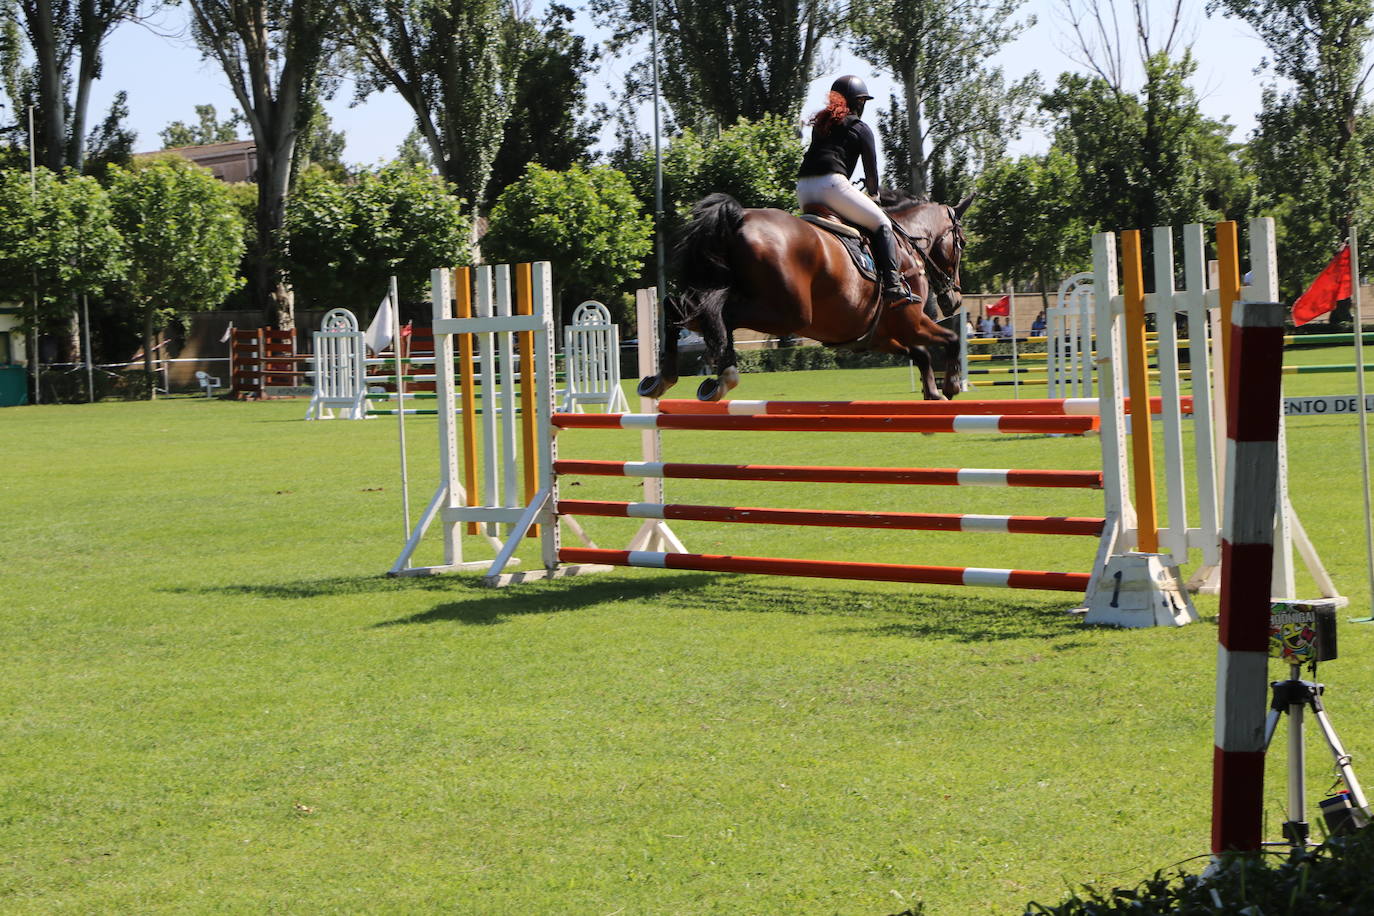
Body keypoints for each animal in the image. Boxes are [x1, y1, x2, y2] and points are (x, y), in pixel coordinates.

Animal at [637, 190, 972, 401]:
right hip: (787, 315)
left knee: (681, 309)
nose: (953, 300)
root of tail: (737, 219)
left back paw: (662, 378)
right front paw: (952, 384)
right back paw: (724, 376)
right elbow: (950, 339)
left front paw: (933, 392)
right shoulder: (911, 323)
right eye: (962, 243)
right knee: (722, 316)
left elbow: (921, 353)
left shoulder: (879, 336)